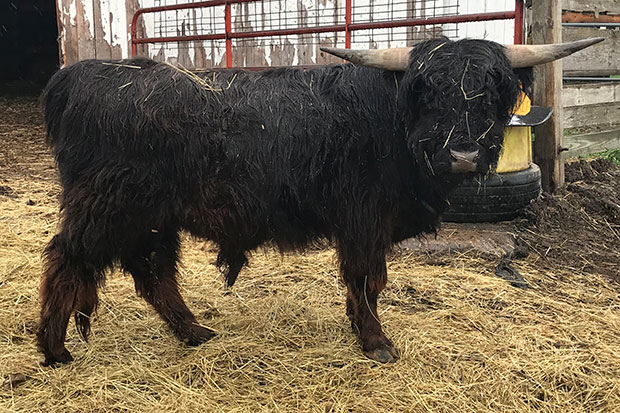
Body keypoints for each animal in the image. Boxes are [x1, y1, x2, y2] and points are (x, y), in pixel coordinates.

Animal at [37, 35, 600, 364]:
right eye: (428, 92)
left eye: (490, 92)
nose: (461, 153)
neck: (391, 122)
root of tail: (76, 76)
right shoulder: (363, 219)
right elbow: (367, 279)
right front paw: (376, 342)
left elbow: (367, 282)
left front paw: (363, 330)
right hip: (107, 207)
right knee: (68, 259)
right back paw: (54, 348)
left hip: (152, 217)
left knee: (154, 273)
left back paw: (194, 331)